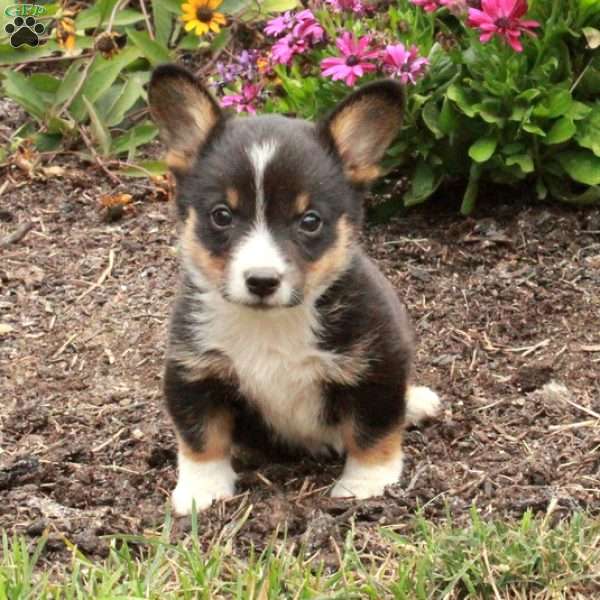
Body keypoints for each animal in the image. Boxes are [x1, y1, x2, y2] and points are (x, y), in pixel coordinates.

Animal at [149, 65, 440, 516]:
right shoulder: (193, 369)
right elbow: (200, 436)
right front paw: (201, 492)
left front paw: (367, 485)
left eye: (310, 221)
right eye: (221, 215)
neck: (272, 324)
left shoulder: (379, 363)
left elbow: (372, 429)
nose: (262, 281)